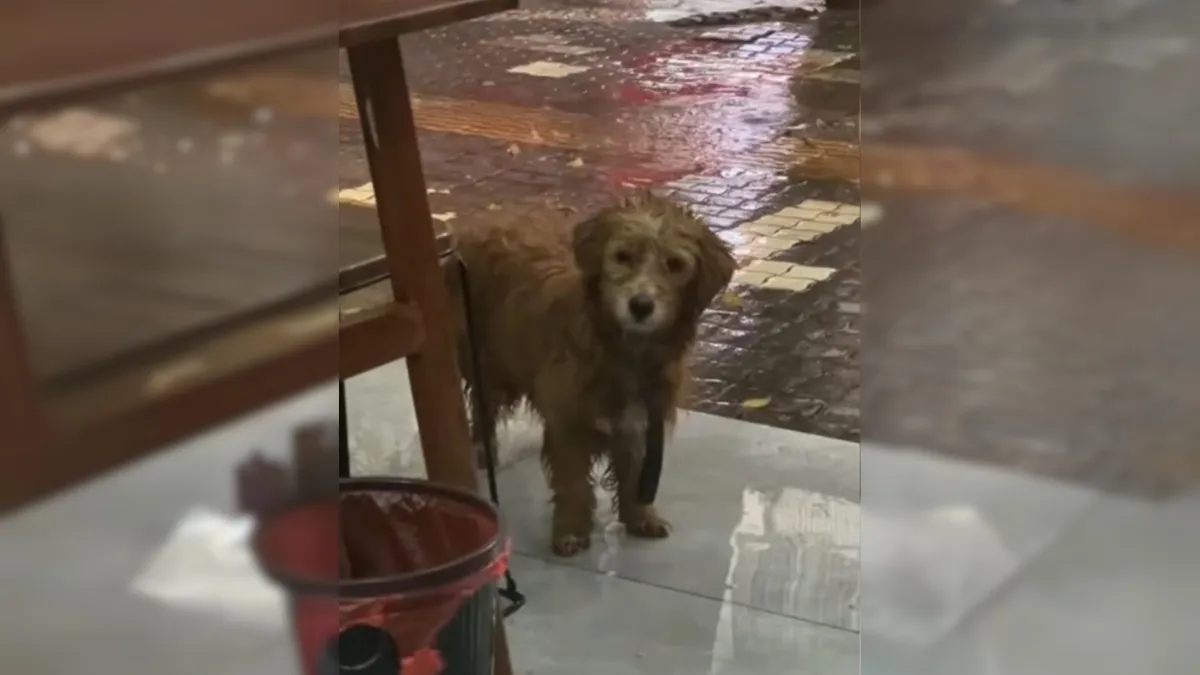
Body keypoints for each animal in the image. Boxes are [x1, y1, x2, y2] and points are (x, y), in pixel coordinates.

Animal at [448, 192, 734, 554]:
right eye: (622, 256)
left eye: (675, 264)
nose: (641, 305)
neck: (624, 352)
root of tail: (486, 218)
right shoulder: (568, 421)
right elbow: (572, 481)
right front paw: (571, 529)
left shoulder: (641, 419)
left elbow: (636, 472)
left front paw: (640, 516)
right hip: (487, 359)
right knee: (482, 405)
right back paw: (482, 448)